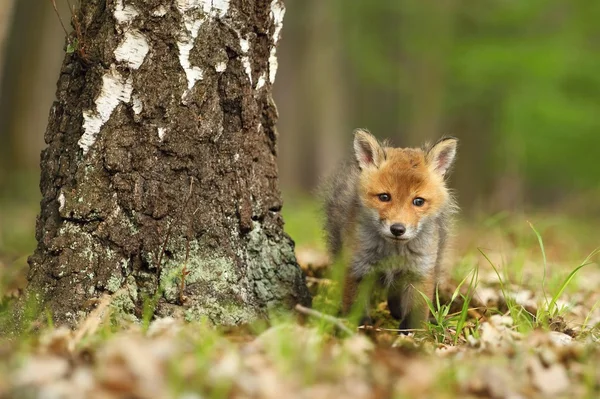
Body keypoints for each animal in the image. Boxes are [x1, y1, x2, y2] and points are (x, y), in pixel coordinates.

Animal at [322, 130, 458, 332]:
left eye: (418, 201)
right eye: (384, 197)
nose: (398, 229)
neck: (392, 254)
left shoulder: (419, 272)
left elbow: (416, 313)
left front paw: (412, 334)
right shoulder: (356, 268)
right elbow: (355, 308)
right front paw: (361, 329)